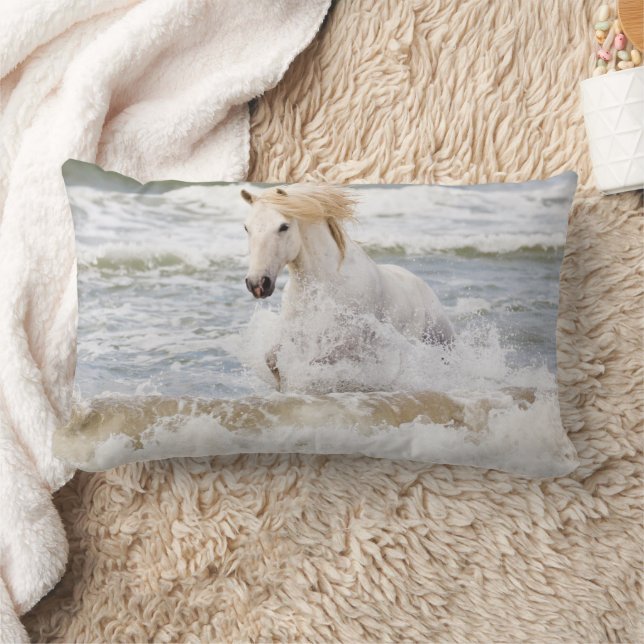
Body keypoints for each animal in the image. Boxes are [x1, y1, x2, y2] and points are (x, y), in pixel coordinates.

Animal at [241, 183, 454, 390]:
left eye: (283, 226)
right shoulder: (296, 330)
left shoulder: (349, 343)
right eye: (246, 228)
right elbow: (271, 358)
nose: (257, 283)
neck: (326, 284)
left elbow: (314, 364)